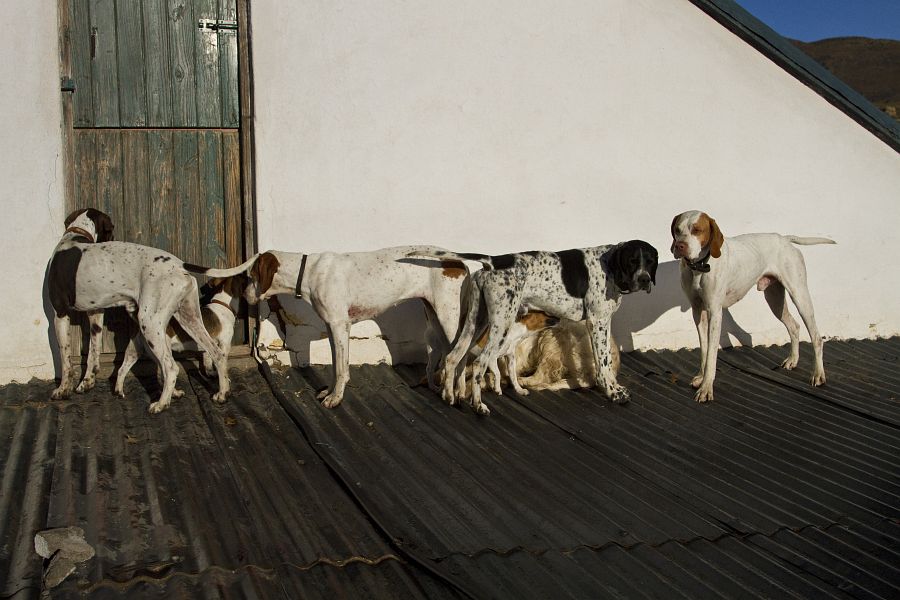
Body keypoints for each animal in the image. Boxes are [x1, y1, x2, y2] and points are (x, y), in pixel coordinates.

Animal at [48, 210, 253, 412]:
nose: (113, 237)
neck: (75, 234)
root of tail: (180, 263)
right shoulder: (96, 314)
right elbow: (93, 352)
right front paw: (86, 382)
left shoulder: (60, 314)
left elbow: (65, 358)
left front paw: (63, 389)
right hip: (189, 319)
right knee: (216, 354)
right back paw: (221, 394)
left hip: (150, 322)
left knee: (170, 367)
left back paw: (162, 404)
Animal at [194, 247, 474, 408]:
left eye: (251, 277)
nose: (245, 295)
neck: (308, 272)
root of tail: (457, 259)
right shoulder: (331, 328)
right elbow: (334, 365)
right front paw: (328, 391)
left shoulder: (340, 326)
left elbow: (341, 369)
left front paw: (335, 398)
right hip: (436, 318)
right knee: (454, 355)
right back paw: (450, 389)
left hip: (449, 317)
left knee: (459, 354)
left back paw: (453, 394)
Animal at [412, 241, 656, 414]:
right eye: (633, 261)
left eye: (651, 261)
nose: (645, 280)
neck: (608, 266)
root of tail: (494, 262)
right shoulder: (597, 322)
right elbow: (603, 364)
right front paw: (614, 393)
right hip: (501, 323)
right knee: (481, 363)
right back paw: (479, 406)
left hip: (475, 323)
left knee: (453, 358)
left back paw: (450, 398)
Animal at [668, 211, 836, 404]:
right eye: (677, 230)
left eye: (697, 230)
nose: (679, 246)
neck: (699, 267)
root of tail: (784, 239)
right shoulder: (698, 312)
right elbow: (704, 350)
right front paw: (701, 378)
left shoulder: (714, 313)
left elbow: (711, 355)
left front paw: (706, 388)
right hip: (774, 300)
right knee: (794, 326)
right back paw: (793, 360)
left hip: (800, 296)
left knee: (816, 337)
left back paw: (818, 375)